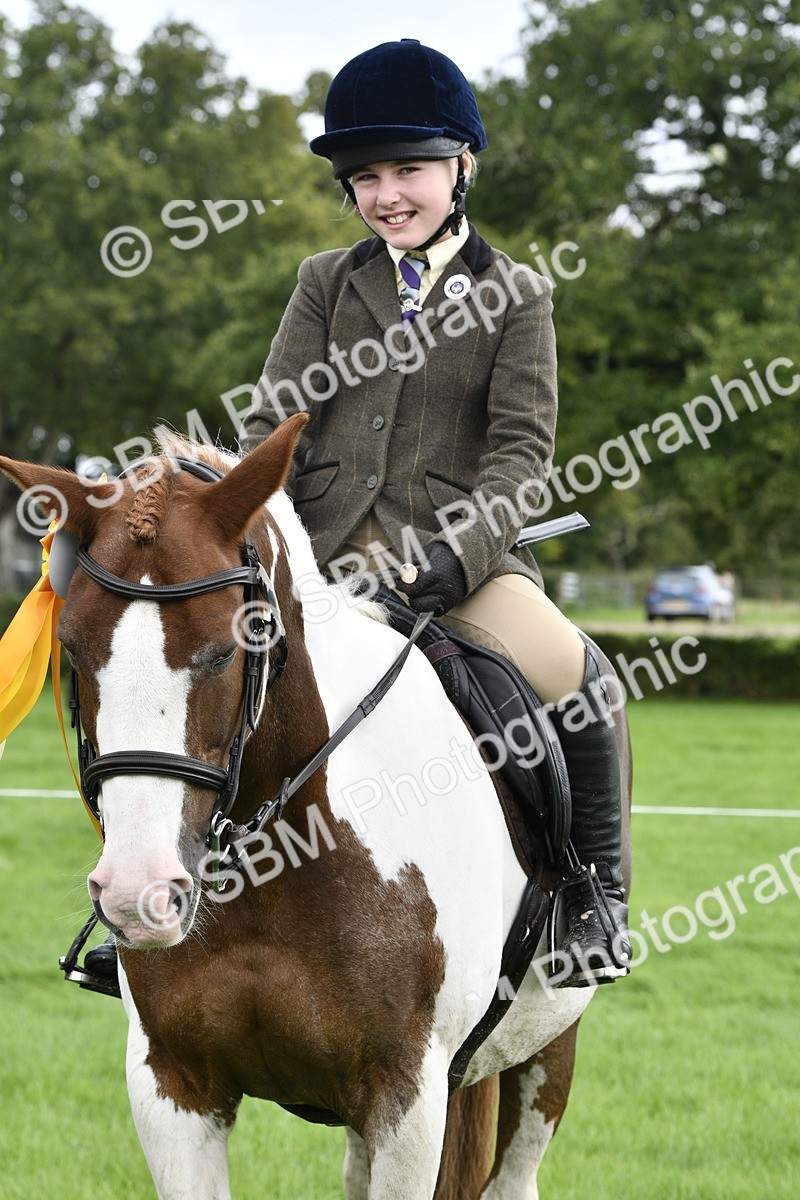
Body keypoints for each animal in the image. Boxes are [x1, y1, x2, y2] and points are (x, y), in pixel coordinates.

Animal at [0, 413, 632, 1200]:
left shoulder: (405, 1097)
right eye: (74, 651)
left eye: (230, 648)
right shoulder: (172, 1086)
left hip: (548, 1049)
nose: (140, 894)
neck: (284, 858)